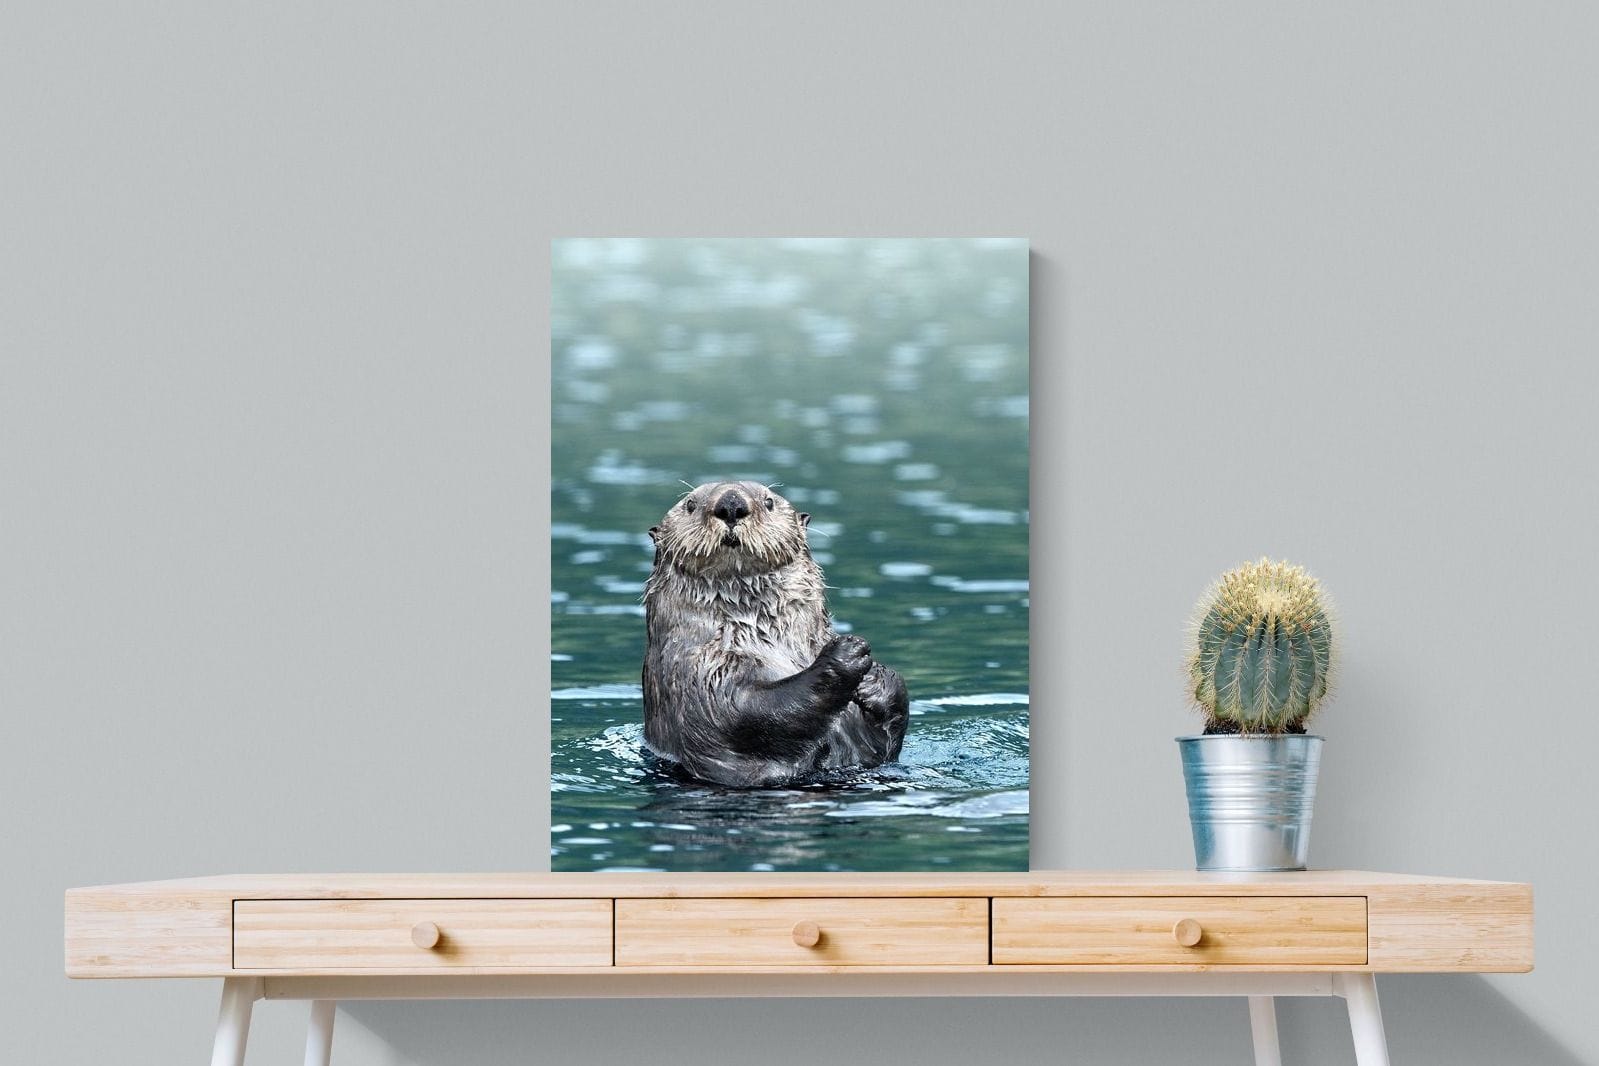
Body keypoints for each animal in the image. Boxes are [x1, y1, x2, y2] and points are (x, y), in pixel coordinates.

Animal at [641, 480, 909, 787]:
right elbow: (745, 711)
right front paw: (846, 653)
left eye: (768, 502)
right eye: (690, 504)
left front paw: (875, 678)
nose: (731, 504)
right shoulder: (699, 672)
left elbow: (884, 744)